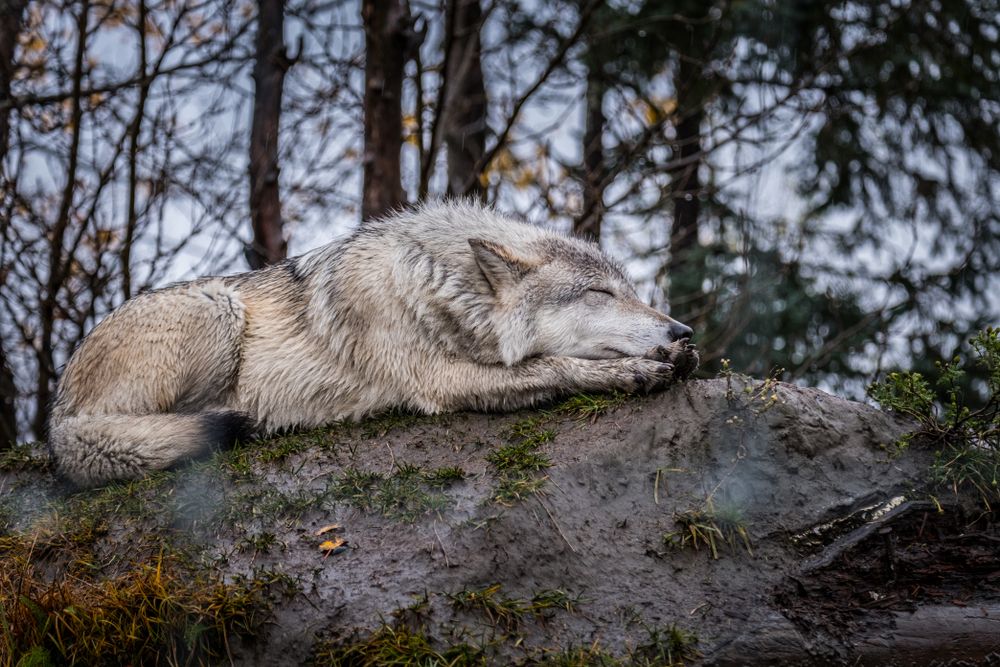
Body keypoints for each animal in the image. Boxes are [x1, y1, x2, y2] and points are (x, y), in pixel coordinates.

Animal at [48, 201, 698, 486]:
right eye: (599, 294)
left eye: (632, 292)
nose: (682, 330)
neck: (437, 281)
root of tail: (57, 422)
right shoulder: (441, 382)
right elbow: (556, 366)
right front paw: (639, 371)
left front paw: (671, 356)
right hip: (217, 309)